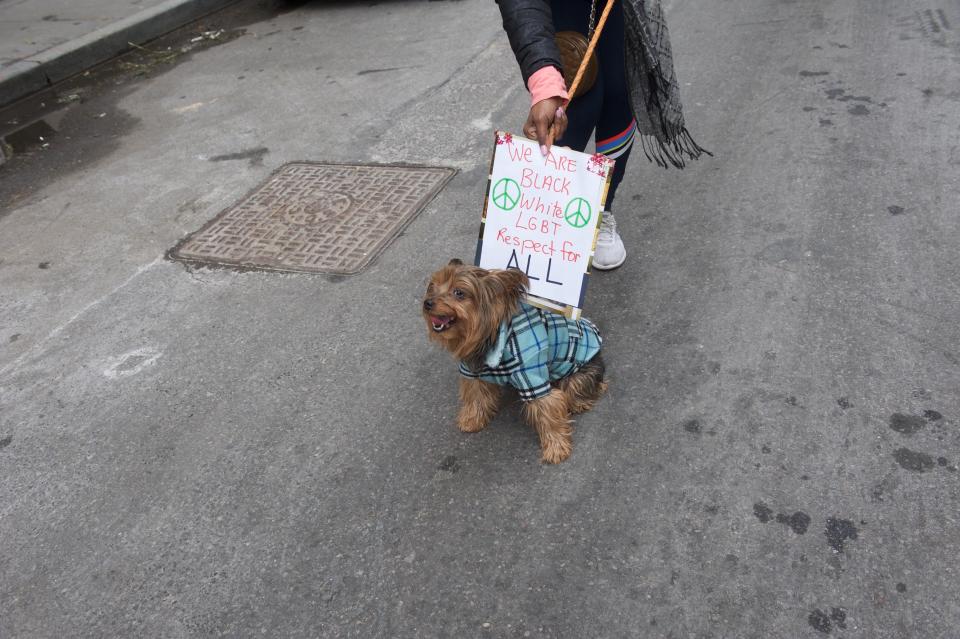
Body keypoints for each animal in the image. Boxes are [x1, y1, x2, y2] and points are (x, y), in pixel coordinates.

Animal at [422, 260, 608, 464]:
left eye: (459, 293)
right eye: (432, 286)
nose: (427, 303)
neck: (491, 337)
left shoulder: (532, 377)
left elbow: (548, 410)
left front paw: (556, 447)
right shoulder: (473, 372)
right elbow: (475, 395)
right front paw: (472, 420)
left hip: (579, 372)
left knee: (579, 387)